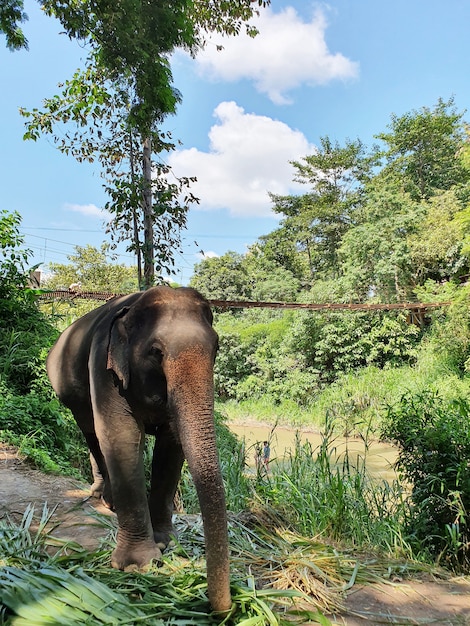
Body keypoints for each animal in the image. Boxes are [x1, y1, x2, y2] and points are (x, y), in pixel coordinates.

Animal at [46, 286, 231, 612]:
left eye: (216, 348)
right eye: (156, 353)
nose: (225, 607)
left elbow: (171, 445)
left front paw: (166, 543)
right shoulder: (103, 364)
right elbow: (121, 435)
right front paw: (137, 565)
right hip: (70, 391)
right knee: (91, 431)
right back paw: (104, 498)